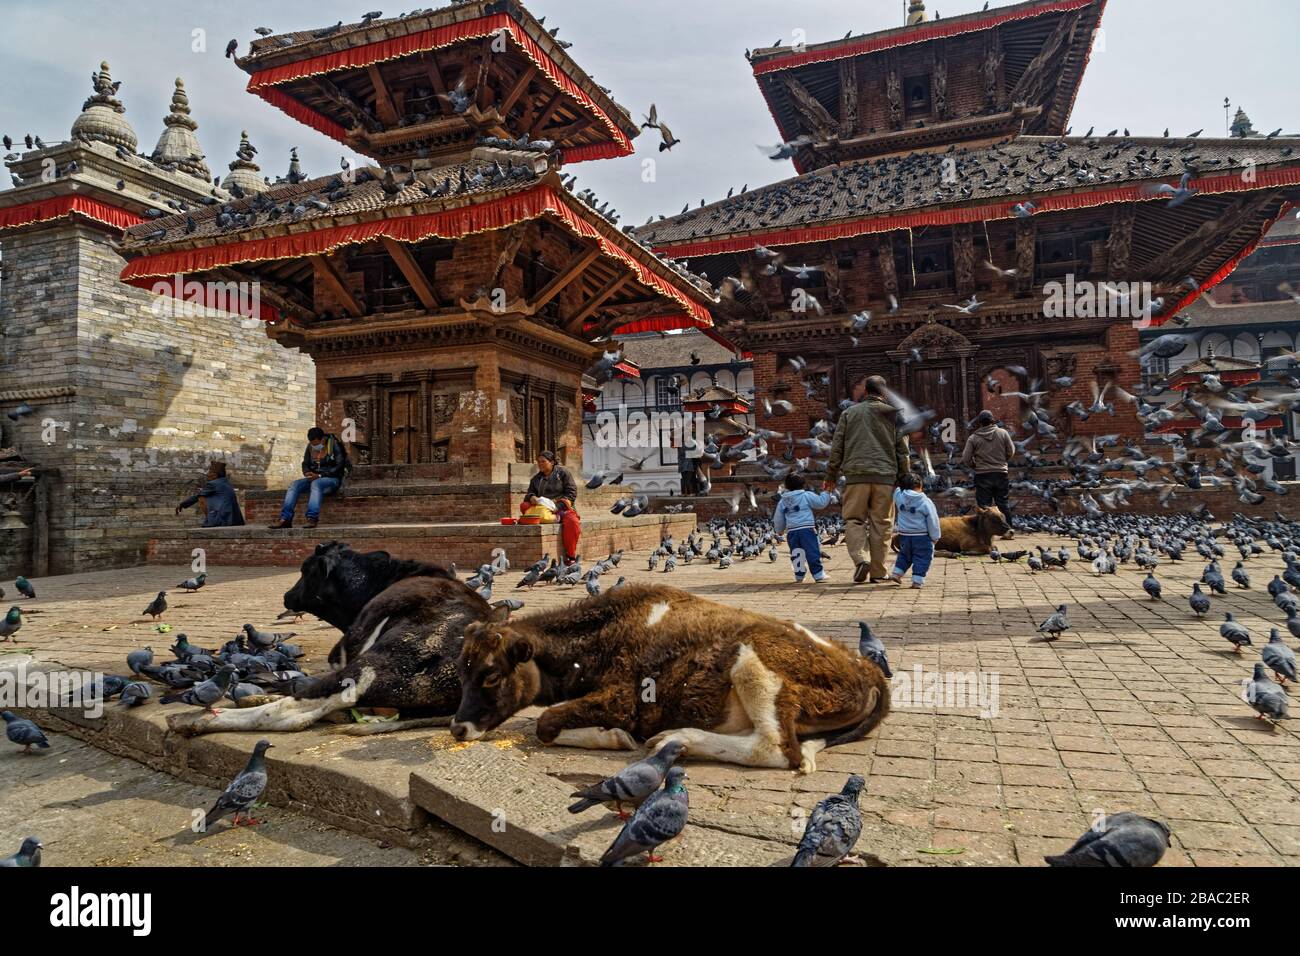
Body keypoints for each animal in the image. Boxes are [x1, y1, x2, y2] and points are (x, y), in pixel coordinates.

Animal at [452, 582, 889, 780]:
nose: (457, 727)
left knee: (776, 749)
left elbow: (545, 724)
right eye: (461, 669)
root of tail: (865, 666)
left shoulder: (624, 699)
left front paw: (615, 737)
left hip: (753, 660)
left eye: (491, 675)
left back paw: (677, 739)